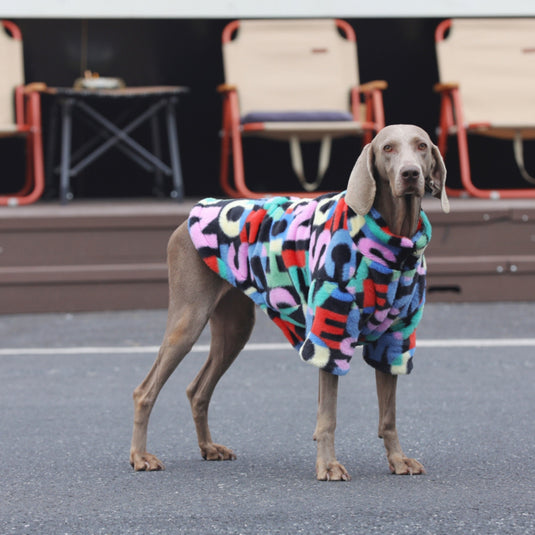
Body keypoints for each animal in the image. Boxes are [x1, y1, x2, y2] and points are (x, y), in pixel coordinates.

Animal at [132, 124, 450, 482]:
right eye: (388, 148)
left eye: (421, 146)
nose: (410, 174)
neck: (394, 244)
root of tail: (193, 213)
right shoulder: (329, 336)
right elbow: (328, 416)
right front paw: (328, 465)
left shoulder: (394, 340)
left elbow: (389, 416)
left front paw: (398, 459)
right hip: (188, 319)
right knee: (145, 391)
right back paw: (140, 456)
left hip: (235, 329)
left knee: (197, 390)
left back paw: (208, 448)